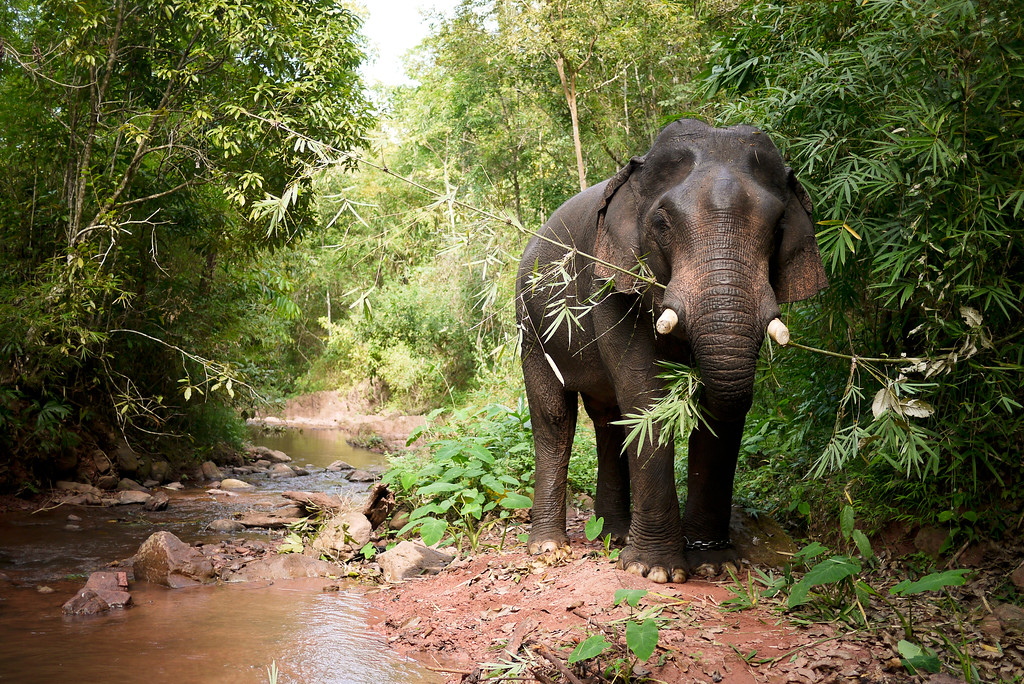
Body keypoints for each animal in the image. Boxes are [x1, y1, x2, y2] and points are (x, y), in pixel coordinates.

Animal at [515, 118, 828, 583]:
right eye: (662, 224)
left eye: (776, 229)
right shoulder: (610, 282)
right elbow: (647, 397)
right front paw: (656, 571)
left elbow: (719, 409)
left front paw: (714, 565)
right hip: (531, 325)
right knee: (554, 417)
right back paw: (549, 548)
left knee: (610, 422)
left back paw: (614, 536)